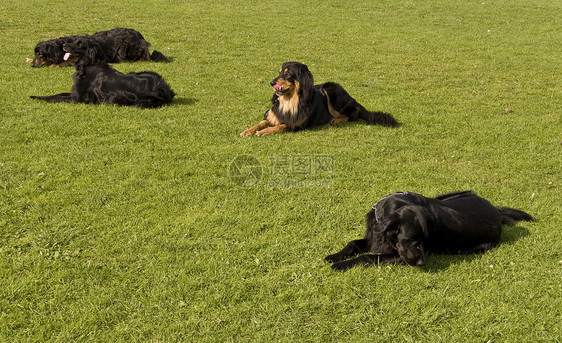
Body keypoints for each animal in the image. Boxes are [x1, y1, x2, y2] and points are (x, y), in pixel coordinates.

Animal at [29, 27, 168, 68]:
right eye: (35, 54)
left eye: (40, 54)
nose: (32, 65)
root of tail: (140, 36)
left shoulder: (91, 58)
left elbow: (66, 62)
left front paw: (55, 64)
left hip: (124, 49)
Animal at [241, 61, 398, 137]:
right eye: (279, 72)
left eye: (288, 74)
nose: (272, 83)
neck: (290, 100)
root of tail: (352, 99)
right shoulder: (273, 116)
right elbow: (261, 123)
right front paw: (248, 131)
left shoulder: (297, 125)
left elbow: (281, 126)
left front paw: (264, 132)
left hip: (330, 88)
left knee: (353, 114)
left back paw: (337, 120)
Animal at [322, 191, 532, 272]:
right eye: (411, 239)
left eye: (425, 240)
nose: (422, 262)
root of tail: (496, 211)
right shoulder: (375, 237)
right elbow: (352, 243)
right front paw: (334, 257)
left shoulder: (398, 256)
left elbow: (367, 257)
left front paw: (340, 265)